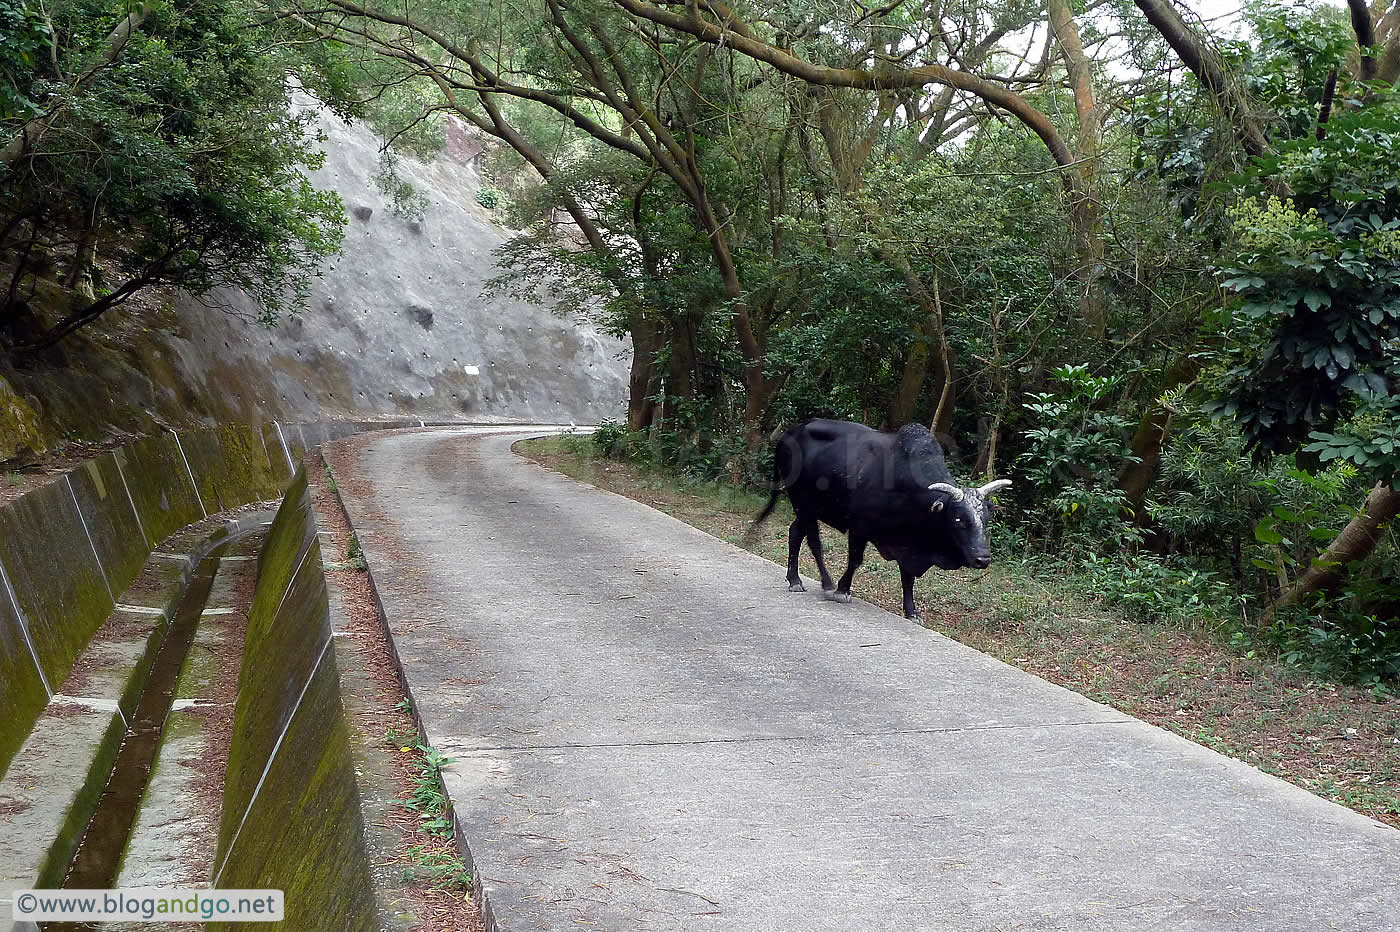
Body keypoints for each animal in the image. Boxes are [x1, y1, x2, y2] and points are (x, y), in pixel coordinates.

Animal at [752, 418, 1011, 620]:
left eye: (985, 519)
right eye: (958, 520)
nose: (982, 558)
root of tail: (790, 432)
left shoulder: (908, 543)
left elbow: (907, 578)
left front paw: (911, 611)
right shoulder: (859, 528)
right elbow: (855, 560)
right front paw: (843, 590)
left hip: (808, 509)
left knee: (795, 533)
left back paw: (795, 579)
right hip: (803, 504)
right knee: (814, 542)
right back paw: (825, 583)